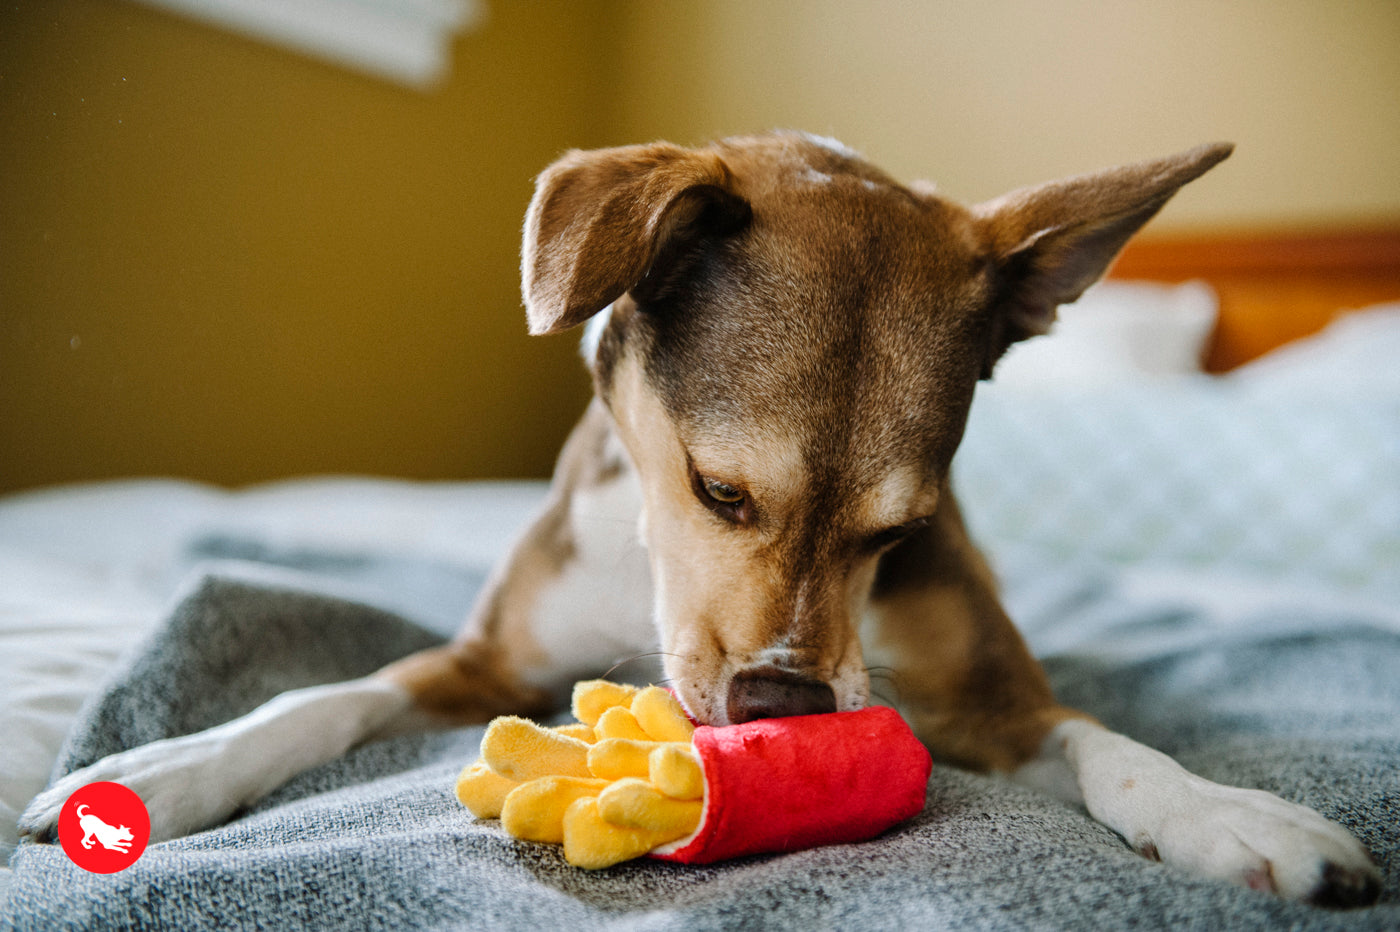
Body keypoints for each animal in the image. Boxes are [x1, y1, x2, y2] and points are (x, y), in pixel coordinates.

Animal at [21, 130, 1377, 901]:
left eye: (896, 533)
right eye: (717, 488)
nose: (784, 701)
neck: (650, 566)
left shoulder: (993, 699)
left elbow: (1108, 741)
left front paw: (1227, 814)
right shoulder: (482, 659)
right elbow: (319, 697)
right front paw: (160, 770)